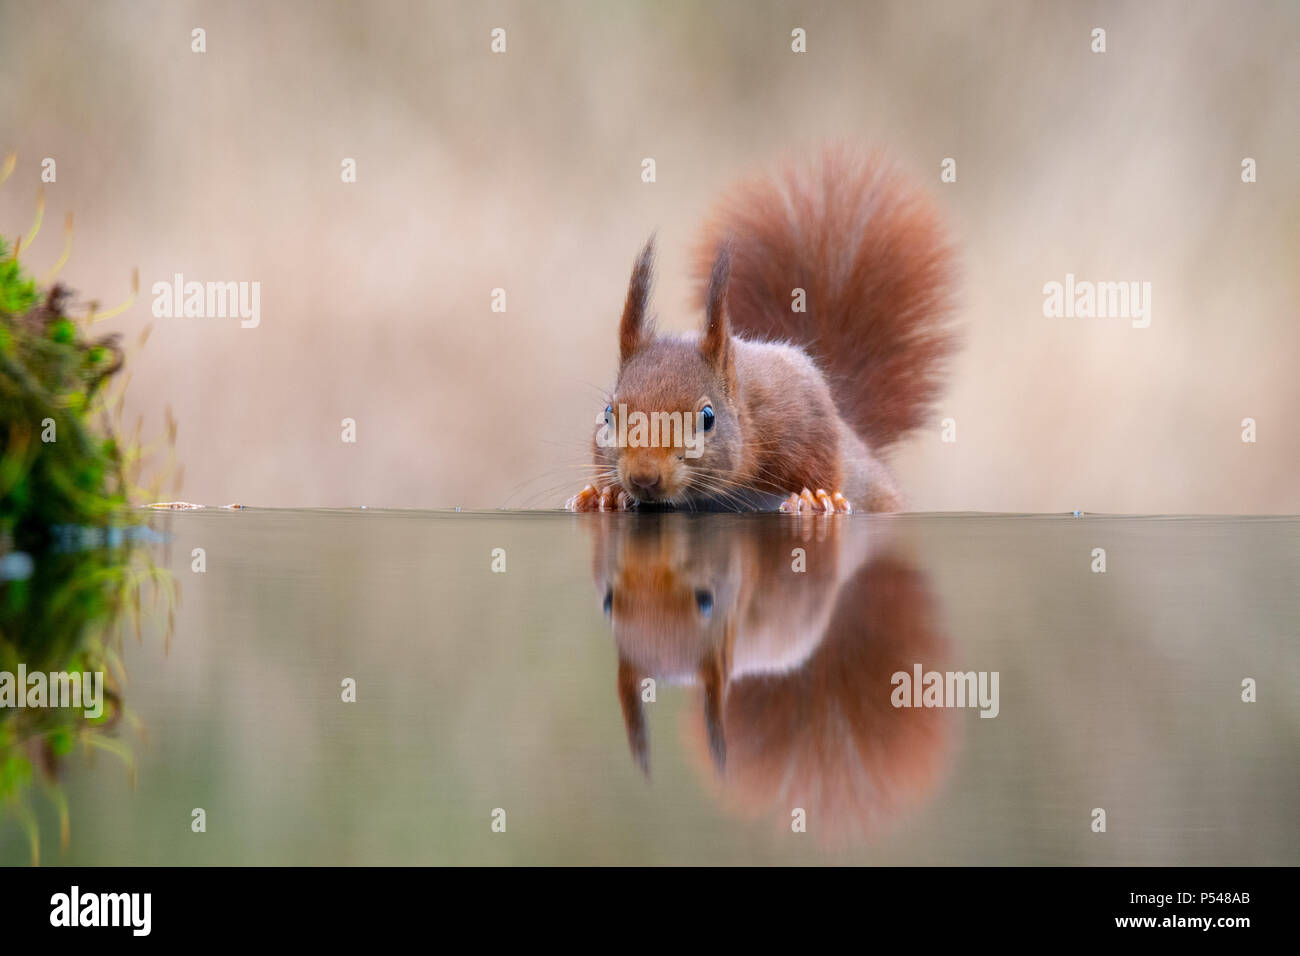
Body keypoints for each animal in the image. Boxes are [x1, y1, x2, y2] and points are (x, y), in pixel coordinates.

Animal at [566, 145, 957, 514]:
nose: (643, 477)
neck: (745, 400)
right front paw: (603, 495)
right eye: (608, 413)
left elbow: (823, 463)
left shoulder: (800, 406)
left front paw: (816, 500)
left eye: (708, 417)